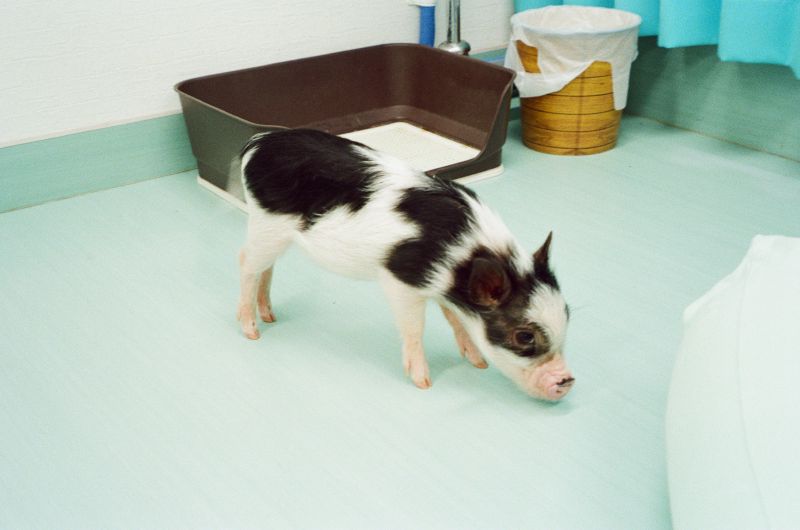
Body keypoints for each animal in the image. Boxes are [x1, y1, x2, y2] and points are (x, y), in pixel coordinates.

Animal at [236, 129, 574, 400]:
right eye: (524, 337)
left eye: (568, 314)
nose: (567, 380)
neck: (463, 254)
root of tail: (256, 143)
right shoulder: (400, 278)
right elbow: (415, 328)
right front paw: (423, 383)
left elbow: (455, 319)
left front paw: (478, 363)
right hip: (267, 224)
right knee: (245, 261)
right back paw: (252, 332)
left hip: (274, 234)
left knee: (265, 267)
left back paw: (271, 317)